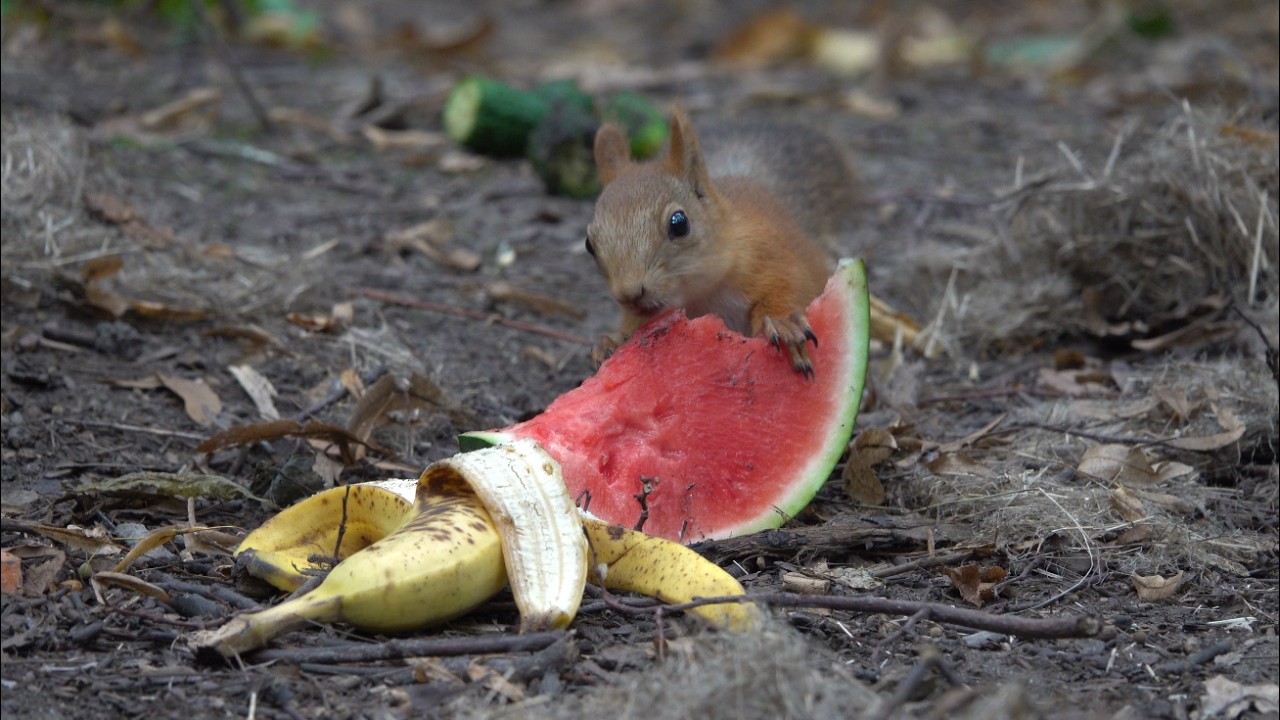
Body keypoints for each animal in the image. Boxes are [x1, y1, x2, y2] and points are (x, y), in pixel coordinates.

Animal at [585, 108, 856, 377]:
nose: (630, 295)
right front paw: (613, 341)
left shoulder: (769, 255)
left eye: (679, 223)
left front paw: (783, 321)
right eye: (589, 244)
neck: (702, 294)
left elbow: (792, 283)